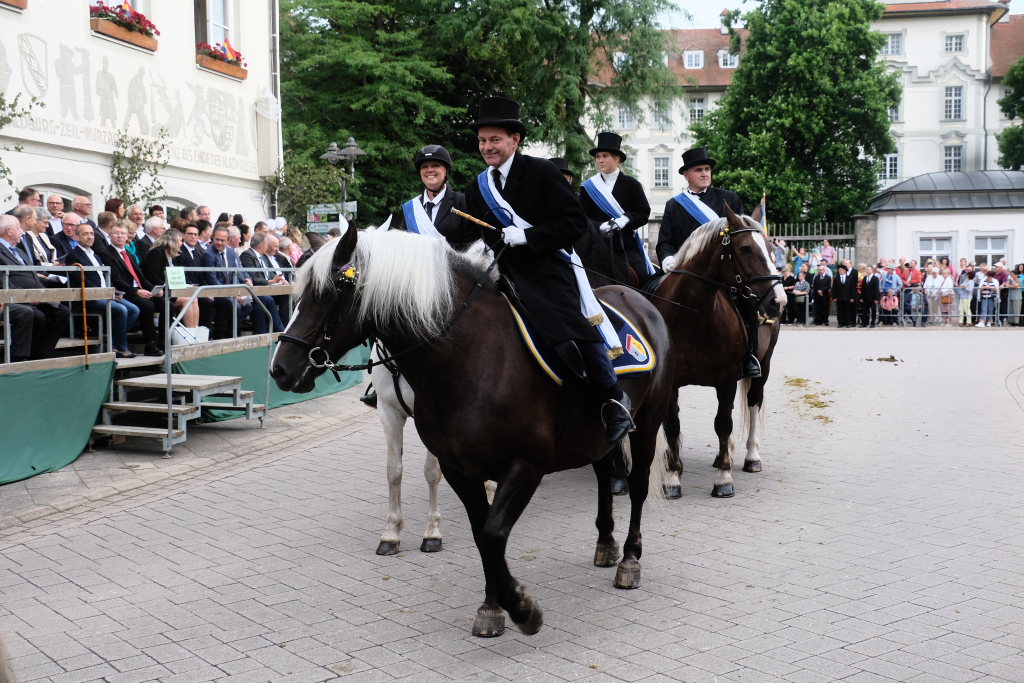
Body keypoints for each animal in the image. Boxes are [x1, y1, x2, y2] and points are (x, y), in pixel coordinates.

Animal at [271, 224, 674, 637]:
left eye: (326, 294)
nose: (280, 369)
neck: (473, 357)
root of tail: (637, 298)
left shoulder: (526, 466)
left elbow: (494, 533)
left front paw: (522, 608)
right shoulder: (458, 468)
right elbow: (483, 535)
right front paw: (492, 606)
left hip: (648, 420)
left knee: (638, 485)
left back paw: (630, 560)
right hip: (593, 436)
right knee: (604, 474)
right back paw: (606, 544)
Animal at [653, 206, 786, 498]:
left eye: (772, 249)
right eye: (746, 248)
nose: (779, 300)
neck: (692, 315)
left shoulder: (726, 380)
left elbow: (723, 423)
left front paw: (723, 479)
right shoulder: (672, 383)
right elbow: (672, 426)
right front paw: (673, 478)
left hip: (764, 367)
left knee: (754, 402)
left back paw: (750, 457)